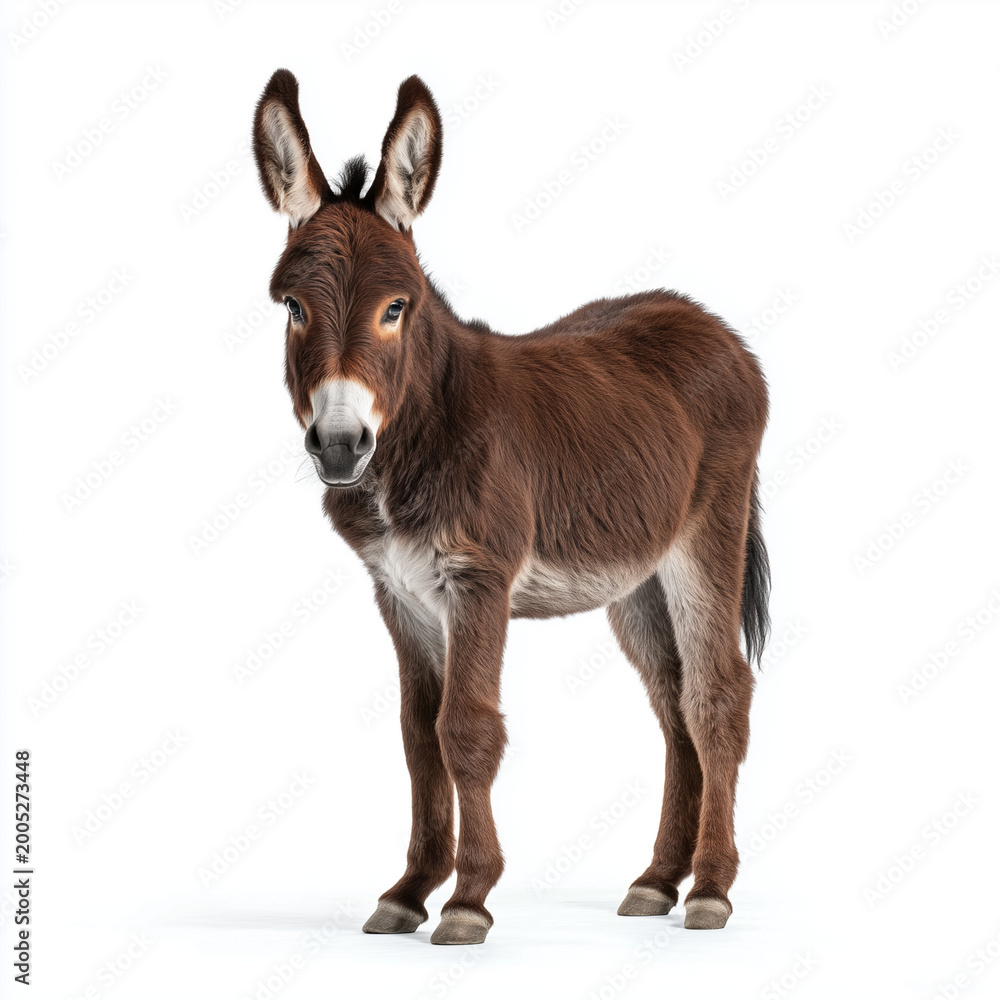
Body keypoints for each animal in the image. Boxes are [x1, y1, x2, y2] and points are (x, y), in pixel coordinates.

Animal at [251, 69, 770, 945]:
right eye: (292, 307)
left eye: (396, 308)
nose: (340, 446)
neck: (423, 430)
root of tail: (705, 319)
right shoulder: (399, 592)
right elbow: (417, 736)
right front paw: (407, 892)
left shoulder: (479, 581)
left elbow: (467, 730)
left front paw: (467, 900)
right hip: (637, 577)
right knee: (672, 708)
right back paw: (657, 881)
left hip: (707, 537)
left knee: (715, 696)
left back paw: (711, 889)